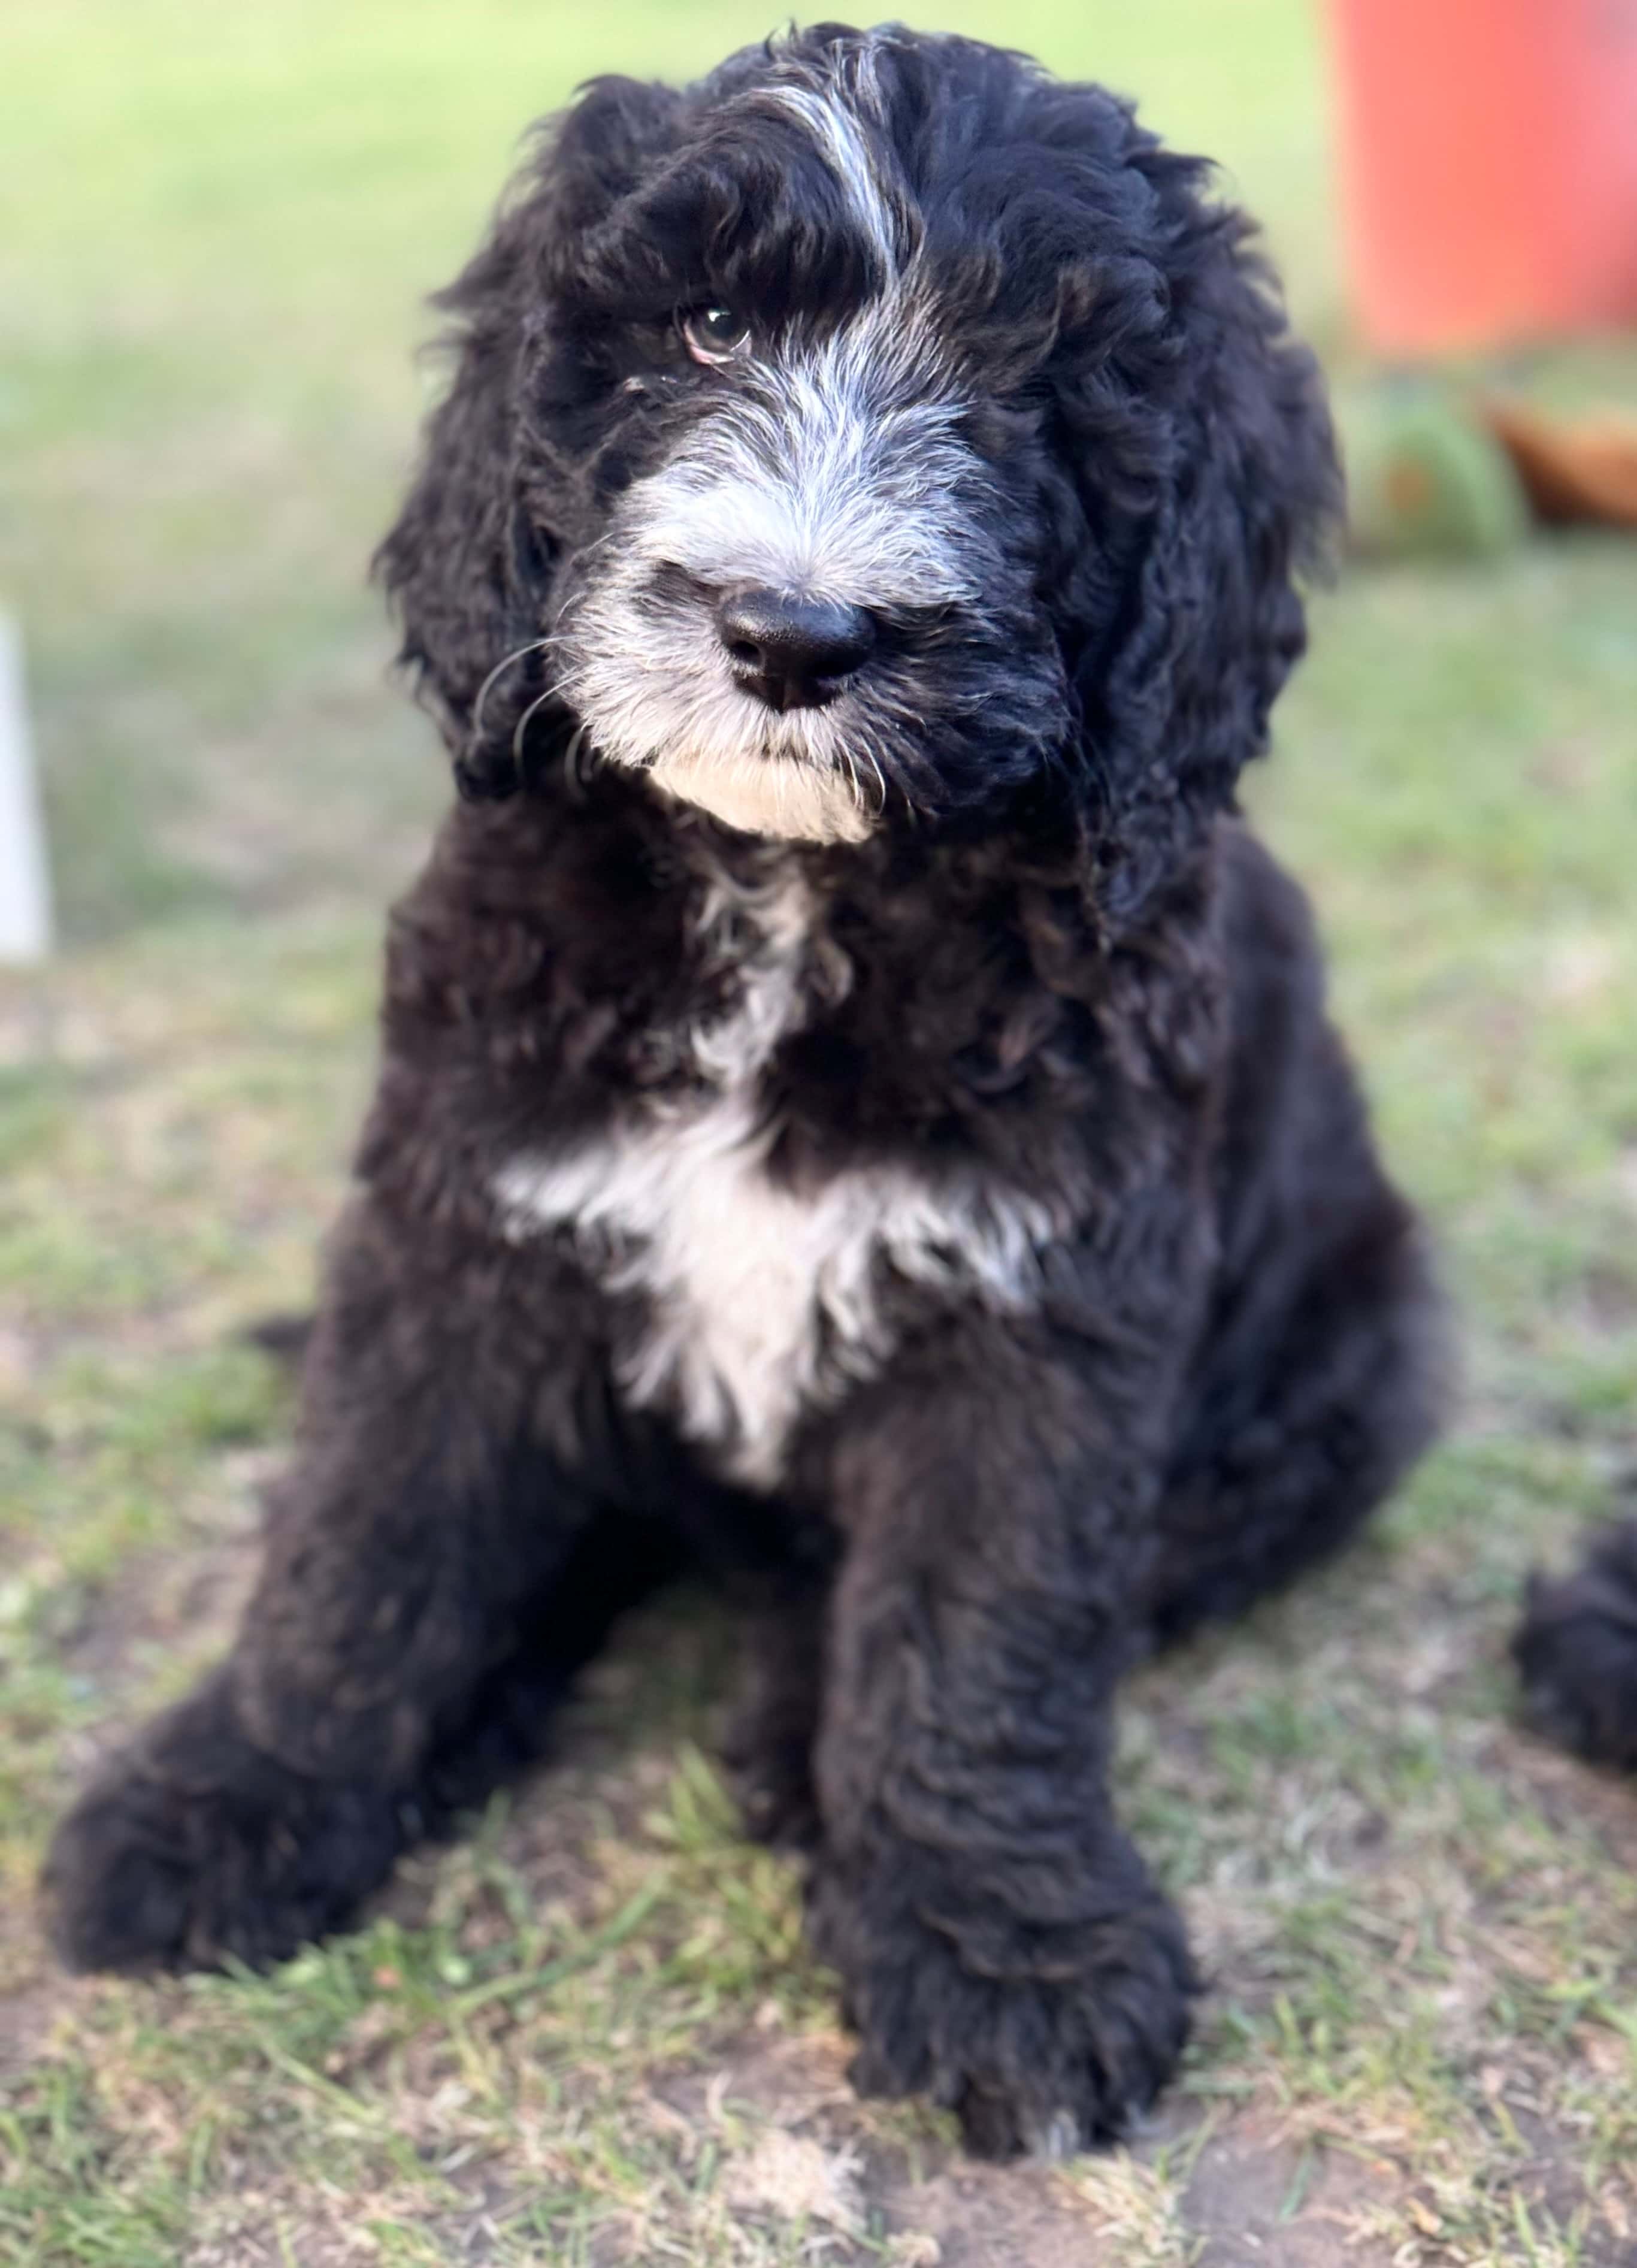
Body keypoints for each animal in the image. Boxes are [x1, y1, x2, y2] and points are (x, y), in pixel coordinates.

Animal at [41, 17, 1442, 2150]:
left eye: (1021, 383)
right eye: (703, 327)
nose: (791, 635)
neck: (791, 893)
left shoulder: (1042, 1298)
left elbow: (983, 1622)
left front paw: (998, 1946)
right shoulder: (464, 1214)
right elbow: (367, 1524)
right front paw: (241, 1798)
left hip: (1355, 1348)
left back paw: (796, 1738)